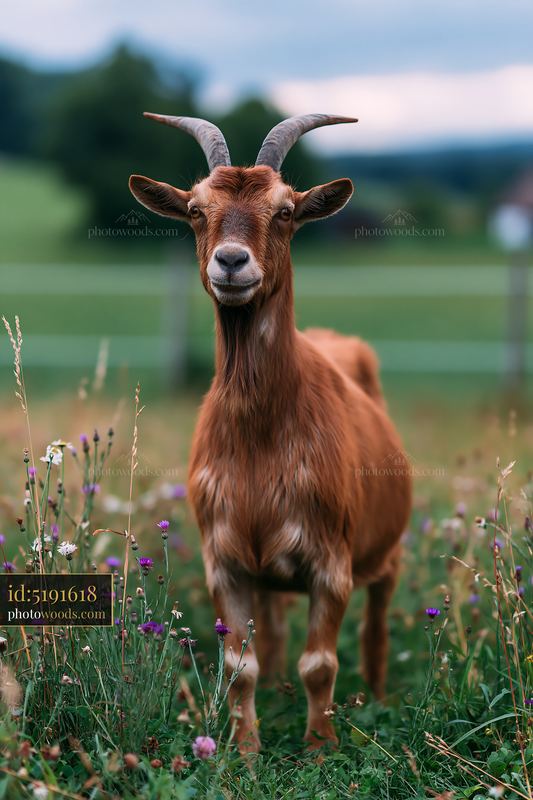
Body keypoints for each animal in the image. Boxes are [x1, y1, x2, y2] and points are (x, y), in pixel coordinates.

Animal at [130, 113, 412, 753]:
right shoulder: (227, 559)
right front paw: (246, 752)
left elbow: (322, 663)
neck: (261, 441)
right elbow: (240, 667)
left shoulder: (331, 559)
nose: (231, 262)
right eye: (195, 209)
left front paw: (320, 748)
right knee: (277, 629)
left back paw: (379, 697)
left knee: (377, 622)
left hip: (388, 551)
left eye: (285, 210)